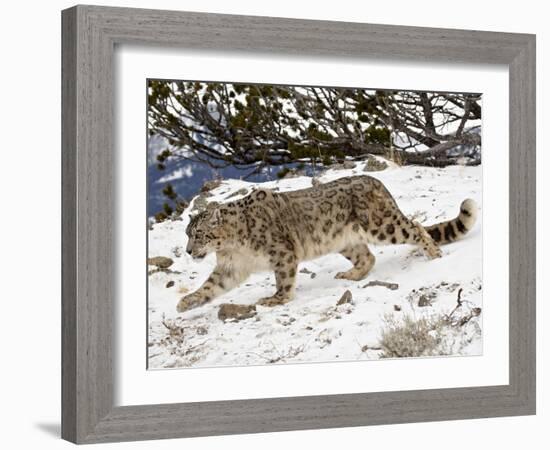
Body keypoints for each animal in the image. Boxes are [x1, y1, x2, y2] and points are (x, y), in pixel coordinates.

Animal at [178, 176, 478, 312]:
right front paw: (187, 301)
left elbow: (283, 279)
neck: (231, 247)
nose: (190, 251)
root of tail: (377, 182)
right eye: (187, 233)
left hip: (382, 226)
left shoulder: (282, 253)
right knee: (367, 257)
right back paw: (350, 275)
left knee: (415, 227)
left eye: (200, 234)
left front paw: (275, 299)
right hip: (346, 241)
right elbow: (211, 285)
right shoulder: (231, 266)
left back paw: (434, 254)